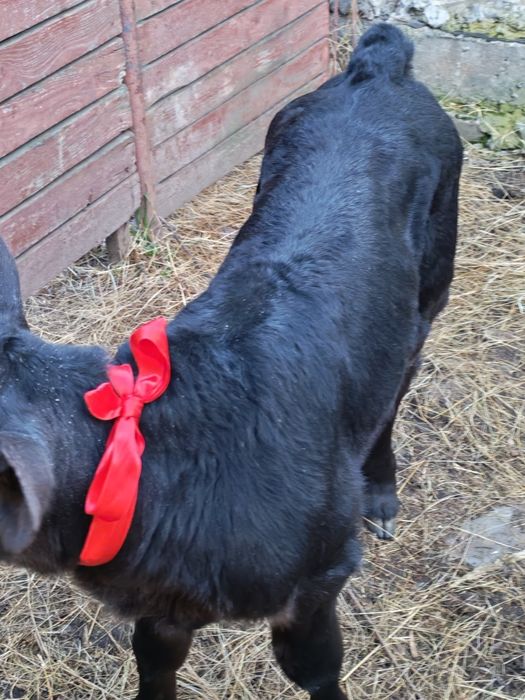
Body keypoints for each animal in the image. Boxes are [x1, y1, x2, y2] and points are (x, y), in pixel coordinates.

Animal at [0, 23, 462, 700]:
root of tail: (376, 68)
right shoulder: (164, 603)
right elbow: (156, 658)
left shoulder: (320, 573)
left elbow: (315, 665)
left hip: (431, 285)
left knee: (396, 388)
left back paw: (379, 493)